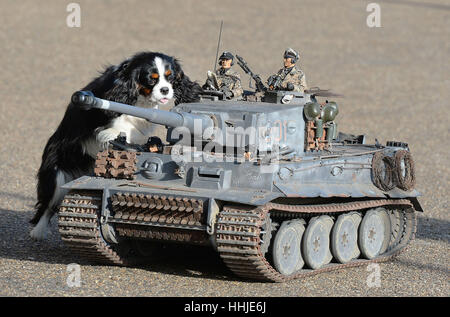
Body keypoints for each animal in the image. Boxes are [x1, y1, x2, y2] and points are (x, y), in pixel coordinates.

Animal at [29, 50, 202, 238]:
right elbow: (121, 128)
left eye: (170, 78)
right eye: (152, 79)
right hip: (57, 175)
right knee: (47, 206)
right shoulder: (108, 123)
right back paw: (38, 232)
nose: (165, 90)